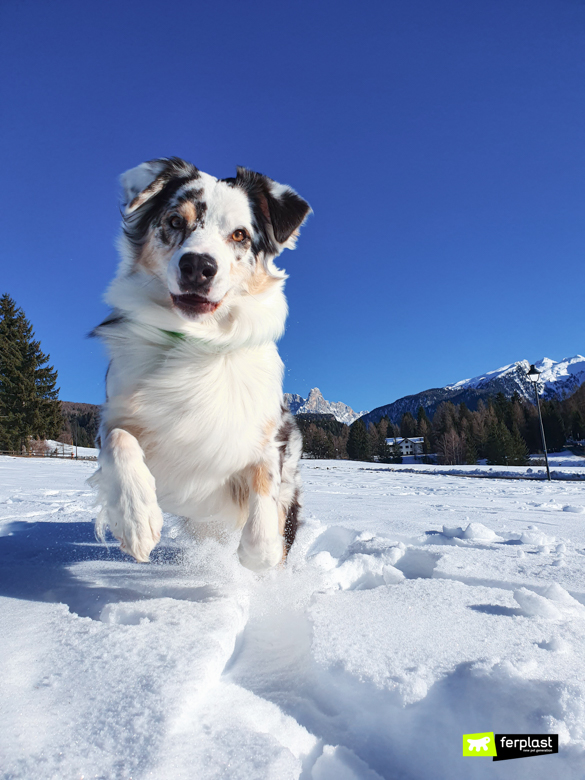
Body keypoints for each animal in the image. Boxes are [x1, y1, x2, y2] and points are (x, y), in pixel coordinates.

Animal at [89, 158, 310, 572]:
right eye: (176, 221)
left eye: (240, 235)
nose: (197, 266)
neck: (198, 339)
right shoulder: (118, 410)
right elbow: (118, 440)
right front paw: (136, 520)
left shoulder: (270, 434)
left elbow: (264, 505)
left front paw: (257, 554)